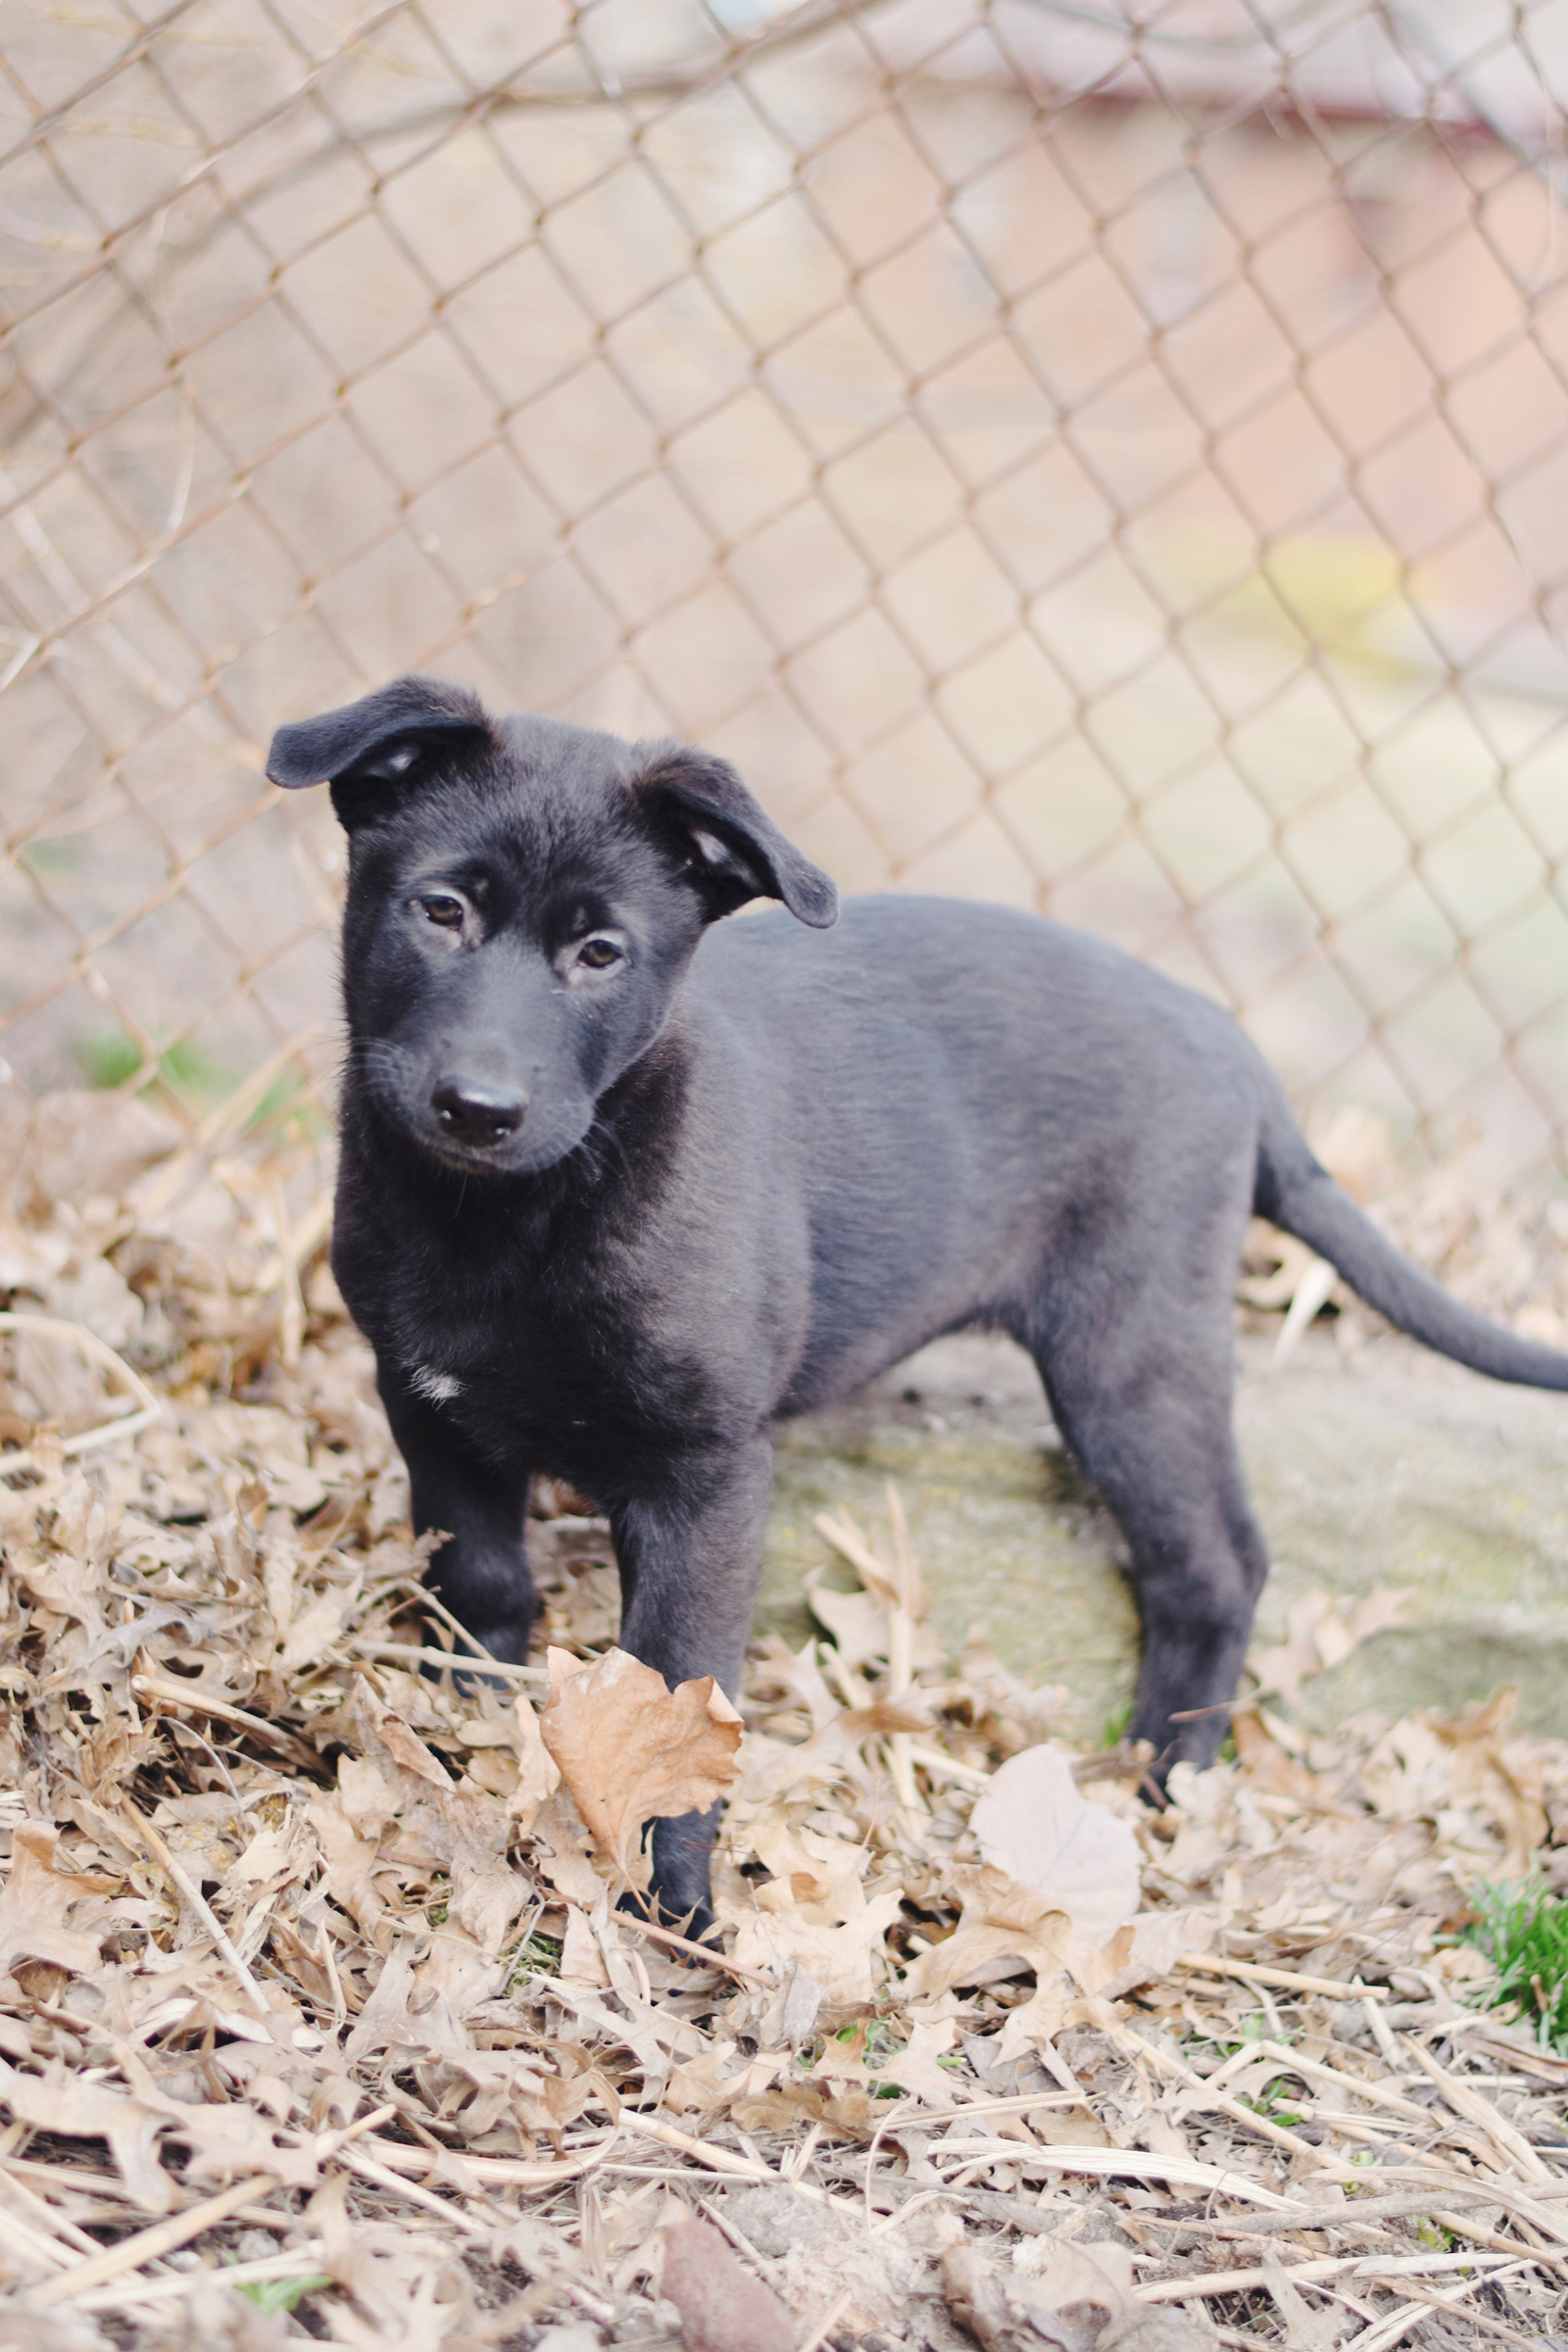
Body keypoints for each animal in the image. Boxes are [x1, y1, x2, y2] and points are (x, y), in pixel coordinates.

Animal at [267, 677, 1568, 1929]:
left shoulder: (706, 1472)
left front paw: (671, 1900)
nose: (479, 1107)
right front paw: (462, 1724)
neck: (511, 1218)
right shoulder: (430, 1403)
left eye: (601, 955)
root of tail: (1234, 1046)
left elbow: (678, 1690)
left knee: (1216, 1564)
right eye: (441, 910)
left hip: (1130, 1351)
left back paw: (1165, 1769)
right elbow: (481, 1582)